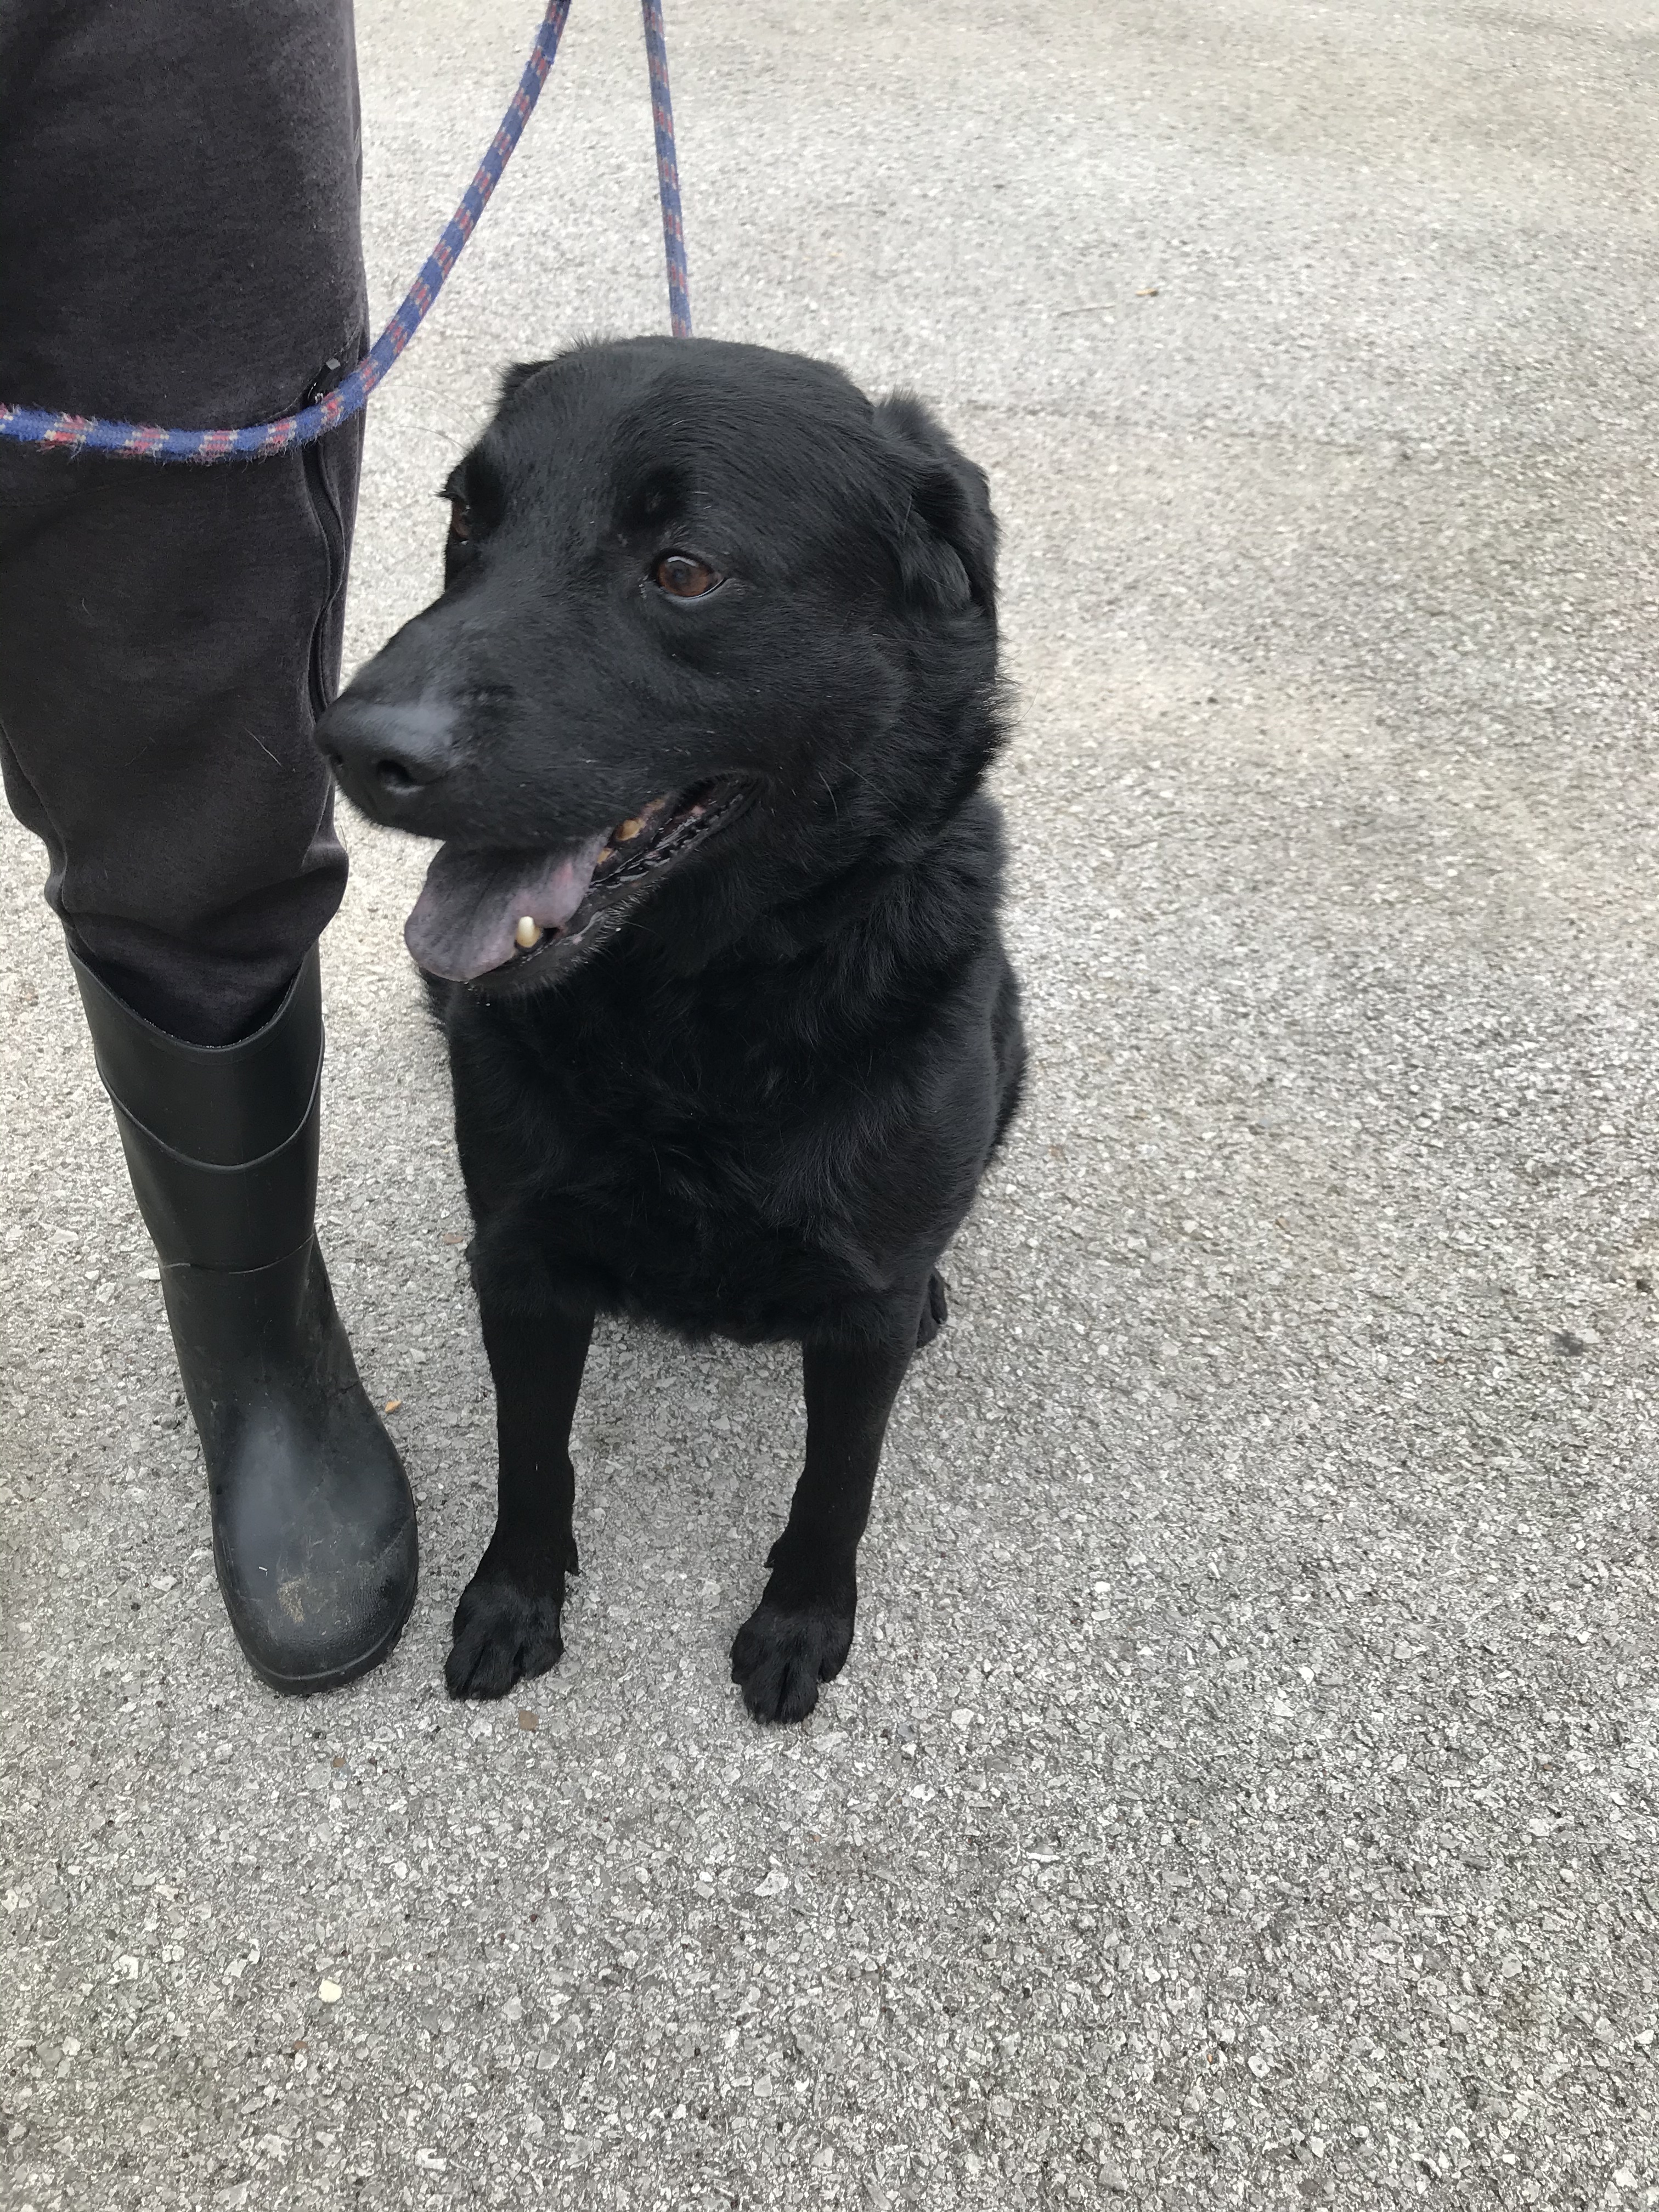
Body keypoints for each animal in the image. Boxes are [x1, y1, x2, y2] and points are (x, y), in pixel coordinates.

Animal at [320, 336, 1026, 1716]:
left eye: (685, 571)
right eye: (467, 520)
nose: (355, 745)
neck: (694, 1021)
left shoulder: (858, 1315)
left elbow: (836, 1483)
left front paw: (802, 1620)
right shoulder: (522, 1264)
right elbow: (531, 1456)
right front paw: (514, 1599)